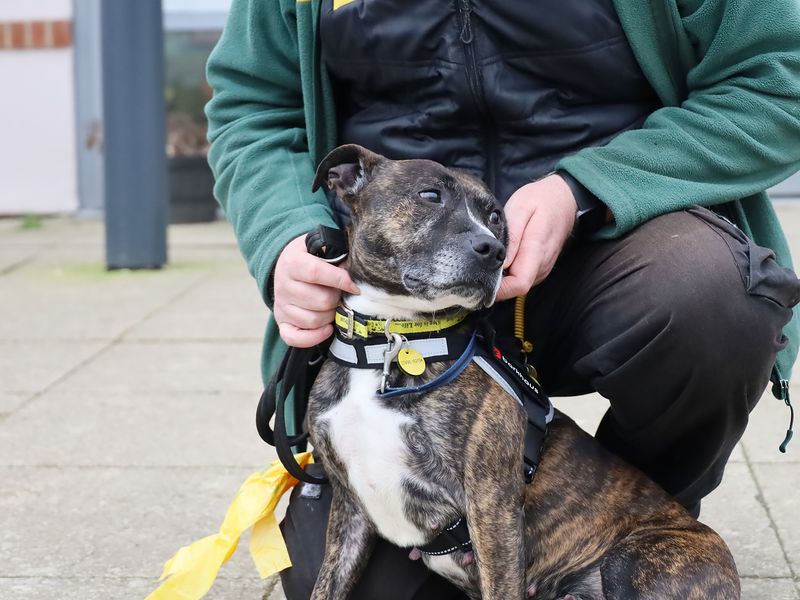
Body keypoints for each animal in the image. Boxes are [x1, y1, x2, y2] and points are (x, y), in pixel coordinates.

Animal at [304, 145, 740, 600]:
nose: (493, 249)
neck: (390, 342)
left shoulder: (491, 504)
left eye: (496, 216)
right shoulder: (349, 509)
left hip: (635, 558)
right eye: (429, 195)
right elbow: (325, 586)